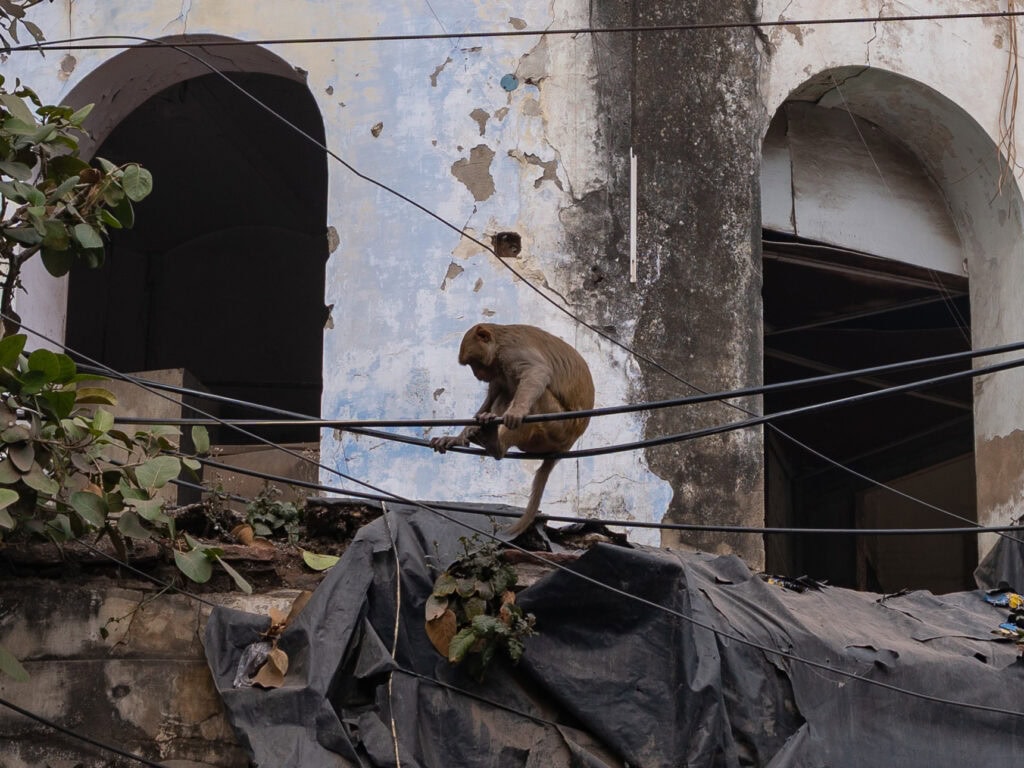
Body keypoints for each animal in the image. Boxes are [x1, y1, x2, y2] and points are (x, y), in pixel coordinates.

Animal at [430, 323, 595, 536]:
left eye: (474, 363)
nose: (476, 374)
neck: (499, 344)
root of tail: (567, 445)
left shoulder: (511, 352)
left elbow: (537, 372)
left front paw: (517, 411)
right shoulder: (497, 370)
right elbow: (493, 395)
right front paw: (458, 437)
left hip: (557, 430)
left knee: (534, 395)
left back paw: (496, 445)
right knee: (505, 392)